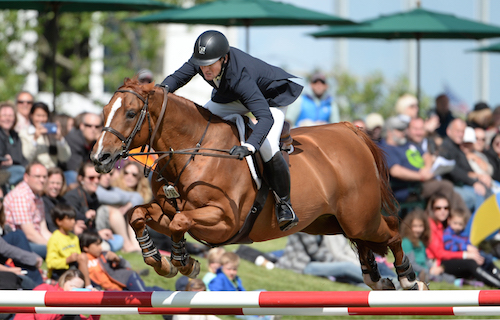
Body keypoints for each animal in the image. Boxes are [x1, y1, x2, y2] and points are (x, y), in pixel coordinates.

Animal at [90, 77, 426, 290]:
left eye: (130, 113)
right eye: (105, 111)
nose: (99, 158)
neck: (191, 152)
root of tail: (349, 130)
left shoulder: (223, 221)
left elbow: (180, 222)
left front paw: (182, 262)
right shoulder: (167, 209)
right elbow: (139, 215)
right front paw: (161, 261)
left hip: (360, 217)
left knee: (392, 230)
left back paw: (408, 278)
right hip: (330, 222)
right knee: (364, 242)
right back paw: (376, 279)